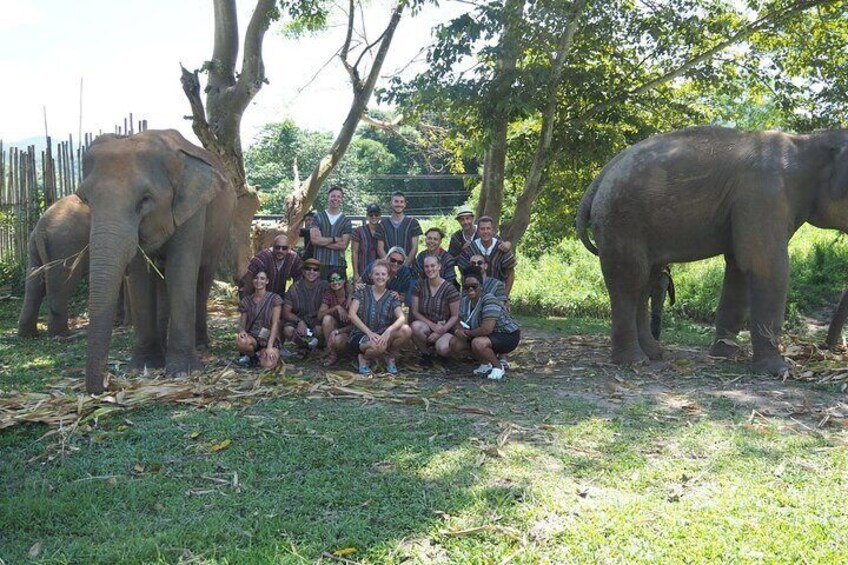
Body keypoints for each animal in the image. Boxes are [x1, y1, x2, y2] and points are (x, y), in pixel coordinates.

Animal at [79, 129, 235, 392]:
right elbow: (140, 278)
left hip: (220, 233)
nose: (105, 386)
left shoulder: (192, 210)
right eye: (86, 200)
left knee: (202, 276)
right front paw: (144, 366)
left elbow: (180, 271)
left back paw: (201, 343)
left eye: (145, 200)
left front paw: (182, 371)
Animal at [576, 126, 848, 374]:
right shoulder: (763, 197)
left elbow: (739, 268)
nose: (827, 349)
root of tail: (602, 175)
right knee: (630, 281)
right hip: (621, 219)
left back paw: (654, 353)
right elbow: (766, 266)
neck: (806, 143)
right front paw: (779, 370)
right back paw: (634, 361)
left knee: (646, 281)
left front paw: (725, 355)